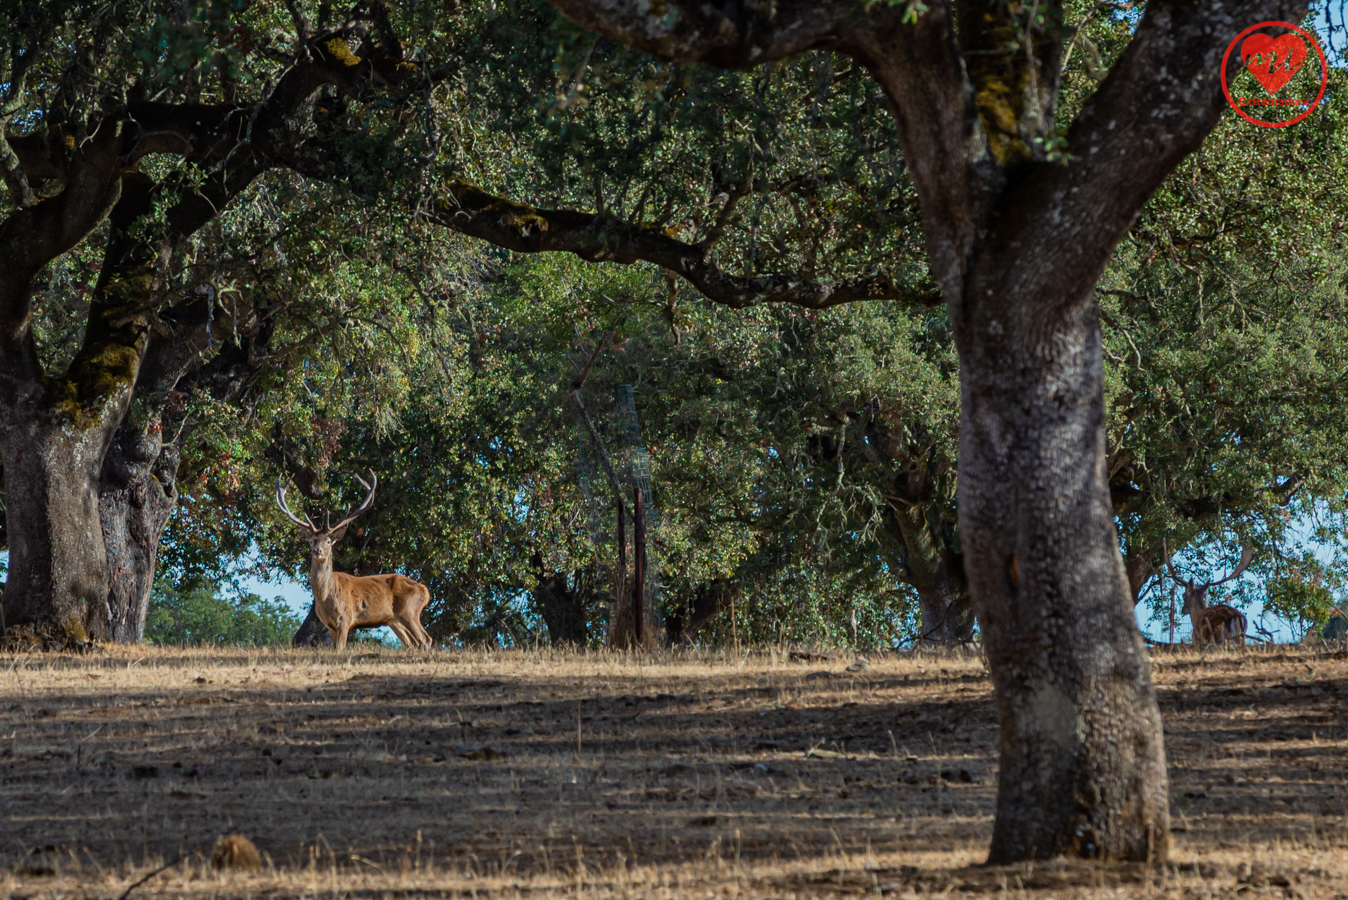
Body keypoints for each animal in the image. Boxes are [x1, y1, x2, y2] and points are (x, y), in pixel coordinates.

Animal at [277, 474, 434, 649]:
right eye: (311, 541)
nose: (317, 550)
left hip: (410, 611)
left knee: (425, 639)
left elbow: (340, 648)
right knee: (413, 643)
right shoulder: (329, 625)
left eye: (328, 541)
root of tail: (425, 591)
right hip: (394, 620)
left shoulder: (345, 619)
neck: (325, 597)